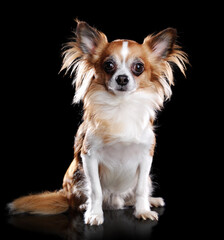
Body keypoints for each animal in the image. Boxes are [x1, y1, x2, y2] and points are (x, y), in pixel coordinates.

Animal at [7, 20, 188, 225]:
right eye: (108, 65)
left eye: (138, 67)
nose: (122, 78)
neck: (121, 106)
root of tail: (65, 195)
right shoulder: (89, 156)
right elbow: (96, 191)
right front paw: (94, 214)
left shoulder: (145, 157)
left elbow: (141, 189)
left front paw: (143, 211)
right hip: (77, 178)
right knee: (79, 201)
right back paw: (83, 206)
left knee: (135, 194)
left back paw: (152, 200)